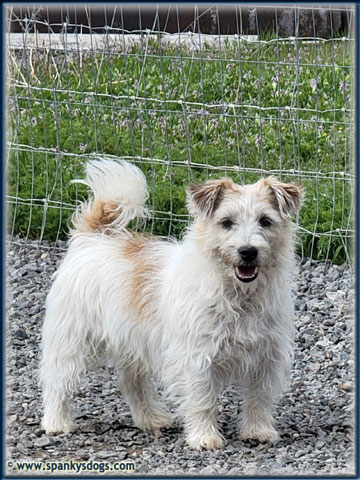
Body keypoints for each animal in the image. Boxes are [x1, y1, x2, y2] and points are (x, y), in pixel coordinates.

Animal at [39, 158, 302, 450]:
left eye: (265, 221)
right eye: (226, 222)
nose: (248, 251)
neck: (239, 295)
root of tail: (92, 238)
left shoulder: (267, 358)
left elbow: (259, 398)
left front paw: (257, 431)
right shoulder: (196, 359)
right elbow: (203, 400)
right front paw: (204, 437)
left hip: (131, 345)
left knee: (133, 384)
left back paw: (151, 419)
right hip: (71, 342)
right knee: (58, 382)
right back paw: (56, 422)